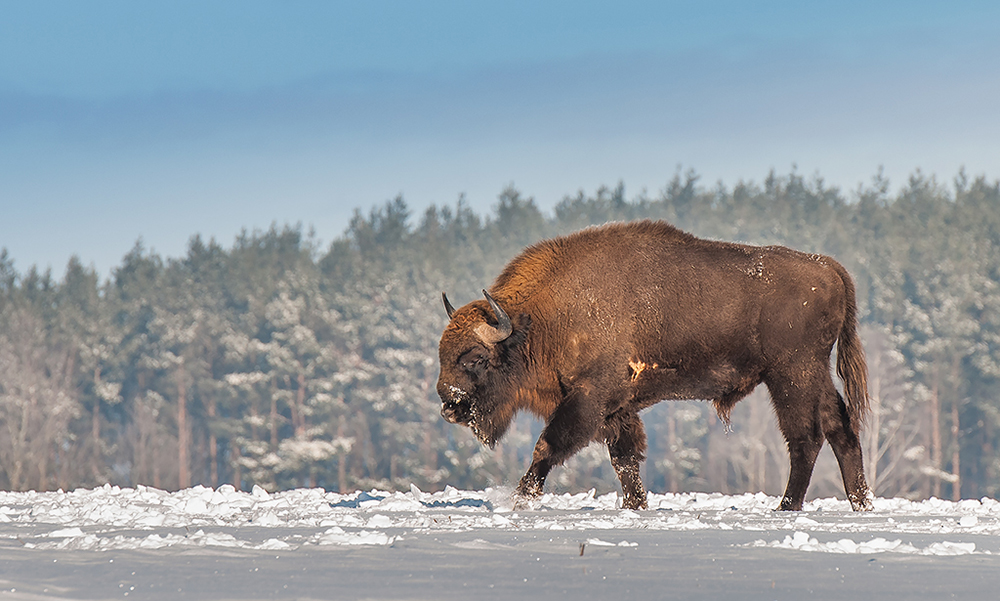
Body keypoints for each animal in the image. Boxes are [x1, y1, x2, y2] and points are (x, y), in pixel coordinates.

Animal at [434, 220, 872, 510]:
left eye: (475, 358)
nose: (449, 406)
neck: (539, 321)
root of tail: (828, 267)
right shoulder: (617, 408)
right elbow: (625, 458)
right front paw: (636, 506)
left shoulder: (588, 398)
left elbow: (550, 443)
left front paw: (520, 498)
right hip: (813, 374)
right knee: (840, 428)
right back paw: (860, 503)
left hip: (791, 375)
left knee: (806, 438)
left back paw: (787, 506)